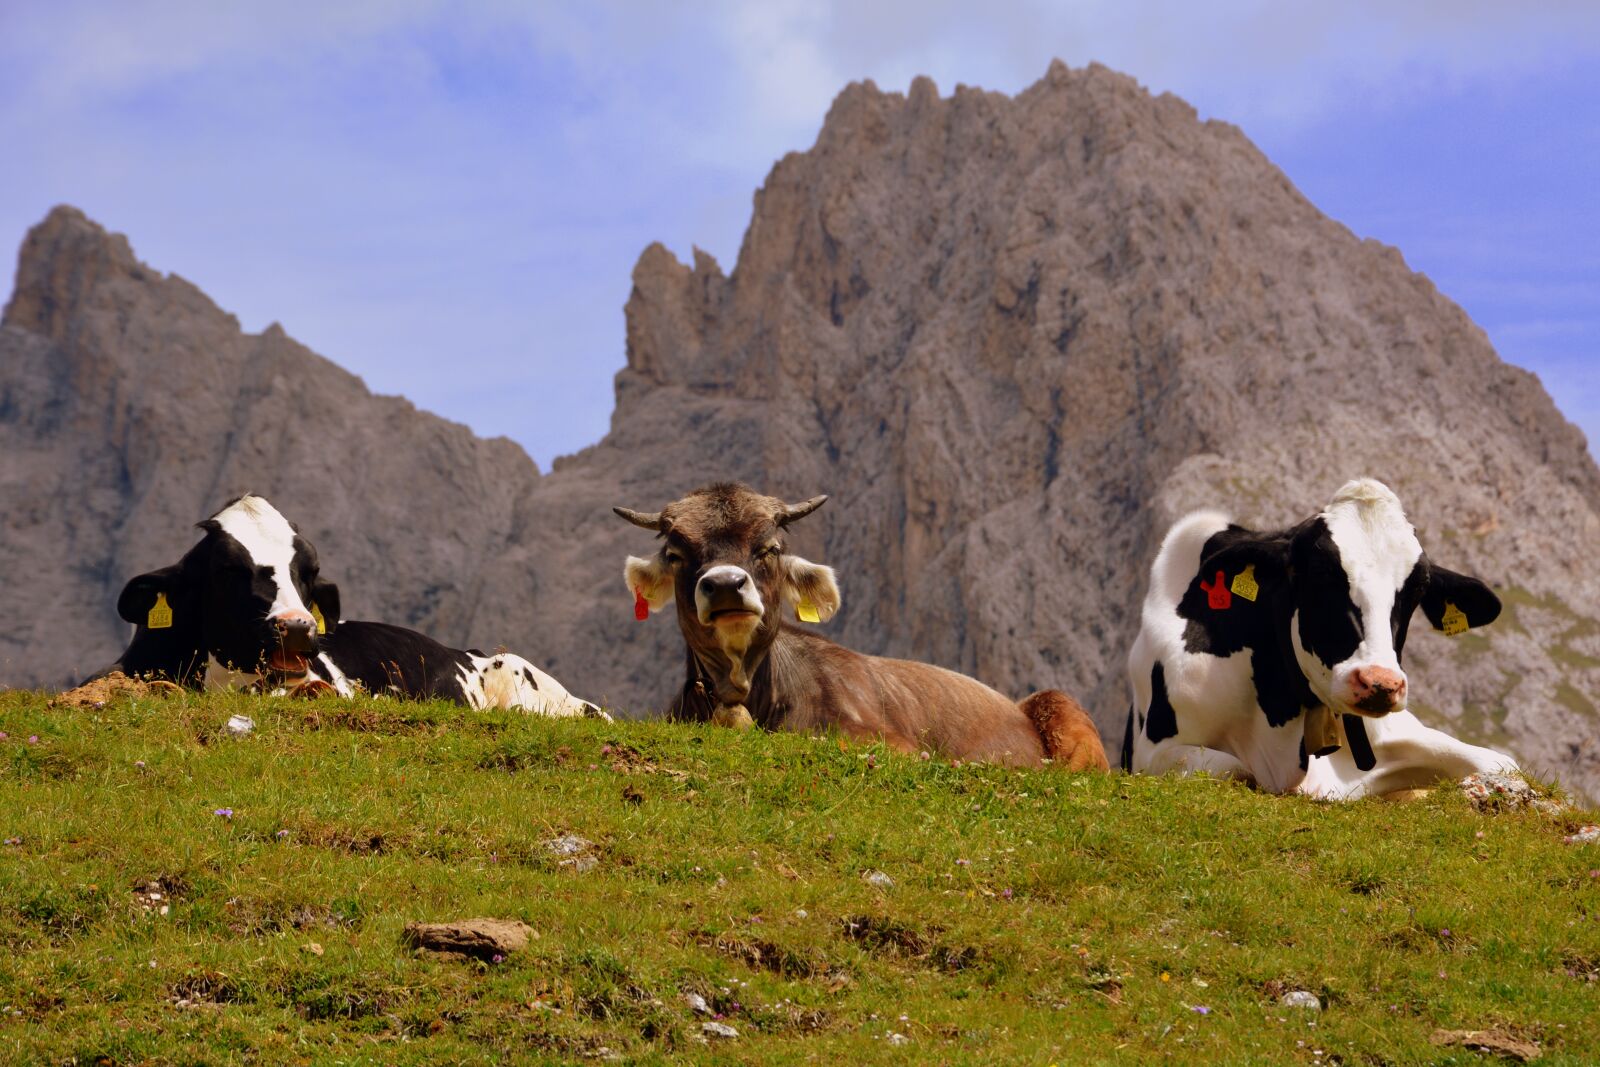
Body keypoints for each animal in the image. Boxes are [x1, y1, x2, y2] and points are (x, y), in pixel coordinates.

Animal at [1121, 477, 1520, 797]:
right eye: (1315, 574)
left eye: (1418, 588)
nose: (1381, 683)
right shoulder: (1152, 753)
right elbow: (1235, 769)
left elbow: (1502, 765)